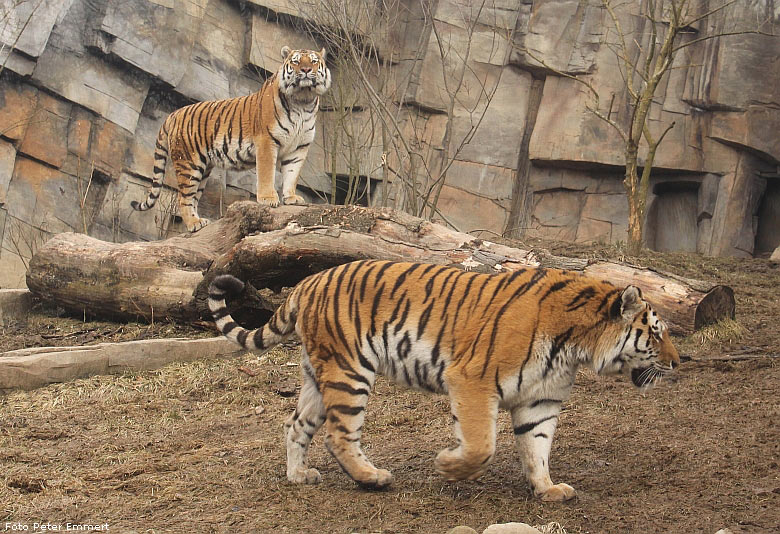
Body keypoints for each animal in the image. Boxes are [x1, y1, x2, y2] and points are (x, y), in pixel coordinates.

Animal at [206, 260, 676, 502]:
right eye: (656, 332)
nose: (677, 361)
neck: (576, 345)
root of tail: (308, 280)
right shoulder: (473, 381)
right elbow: (482, 445)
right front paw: (448, 467)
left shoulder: (540, 402)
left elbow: (537, 449)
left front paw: (547, 489)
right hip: (348, 371)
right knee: (339, 435)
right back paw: (372, 478)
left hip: (317, 375)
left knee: (295, 425)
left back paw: (298, 476)